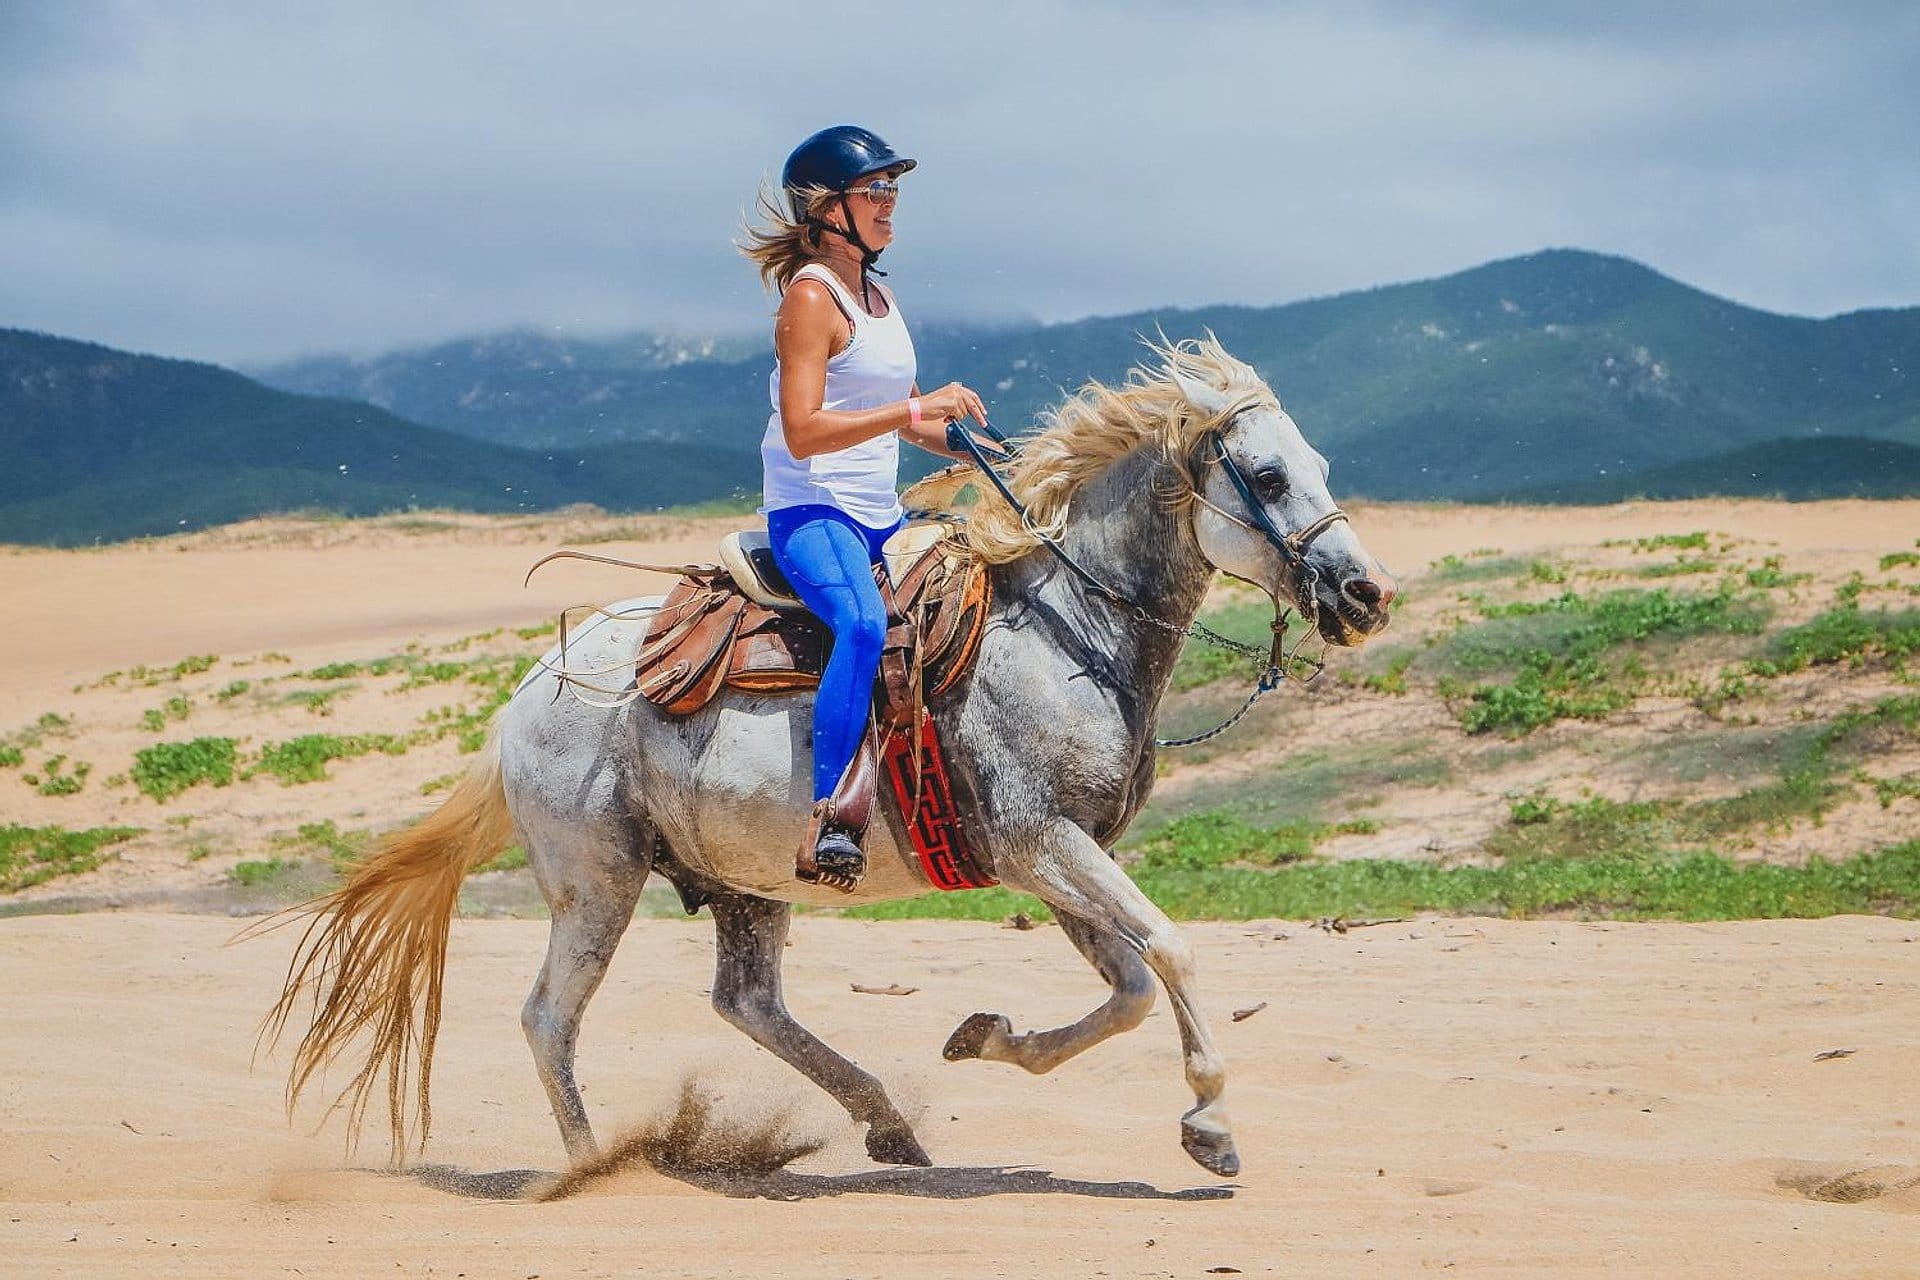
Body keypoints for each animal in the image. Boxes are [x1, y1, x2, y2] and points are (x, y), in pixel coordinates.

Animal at [262, 336, 1397, 1181]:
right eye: (1266, 475)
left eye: (1323, 468)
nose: (1364, 593)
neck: (1064, 633)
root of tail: (526, 695)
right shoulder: (1042, 840)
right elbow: (1170, 951)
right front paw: (1210, 1124)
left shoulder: (1056, 854)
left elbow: (1127, 986)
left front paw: (987, 1036)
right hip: (597, 882)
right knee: (551, 1018)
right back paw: (589, 1166)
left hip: (744, 880)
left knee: (748, 1003)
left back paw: (887, 1119)